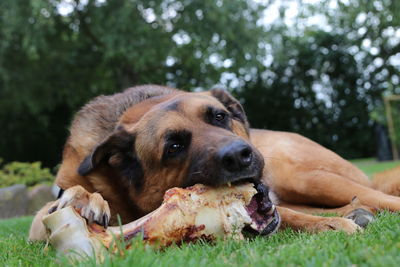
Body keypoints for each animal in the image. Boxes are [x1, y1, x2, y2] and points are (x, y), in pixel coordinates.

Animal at [29, 85, 400, 241]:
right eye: (174, 145)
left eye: (219, 116)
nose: (238, 155)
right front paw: (83, 199)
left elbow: (288, 215)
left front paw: (330, 226)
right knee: (357, 202)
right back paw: (353, 213)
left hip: (307, 177)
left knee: (379, 197)